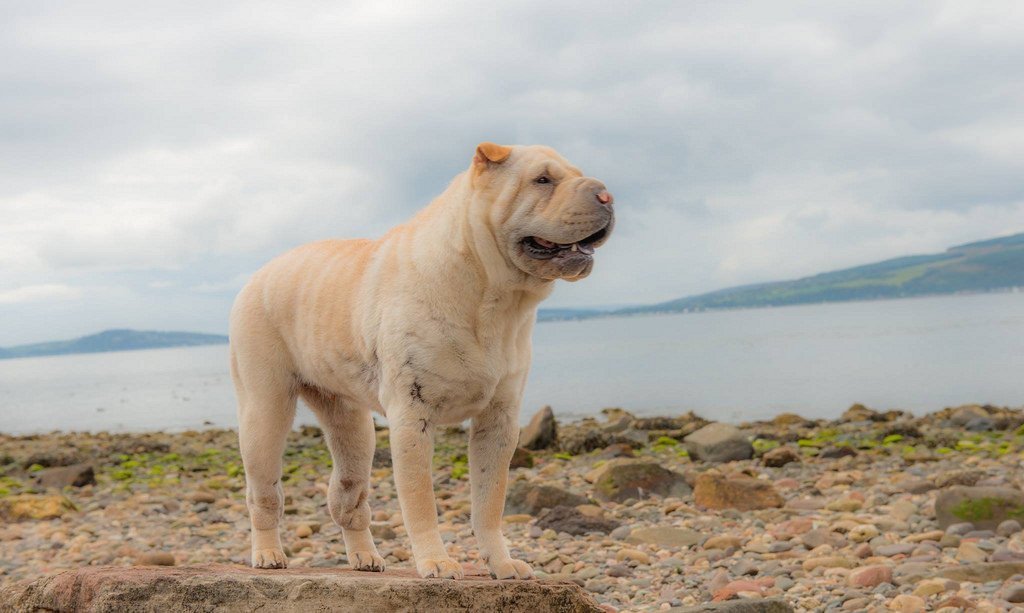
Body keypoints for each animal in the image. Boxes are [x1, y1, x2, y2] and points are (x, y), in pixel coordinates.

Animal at [230, 144, 614, 581]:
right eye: (543, 180)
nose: (606, 195)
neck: (492, 298)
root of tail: (257, 275)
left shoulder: (499, 422)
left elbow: (489, 502)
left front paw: (501, 563)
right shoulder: (413, 418)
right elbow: (420, 501)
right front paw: (437, 562)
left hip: (352, 426)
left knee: (348, 498)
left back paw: (365, 558)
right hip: (265, 413)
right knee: (263, 493)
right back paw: (268, 554)